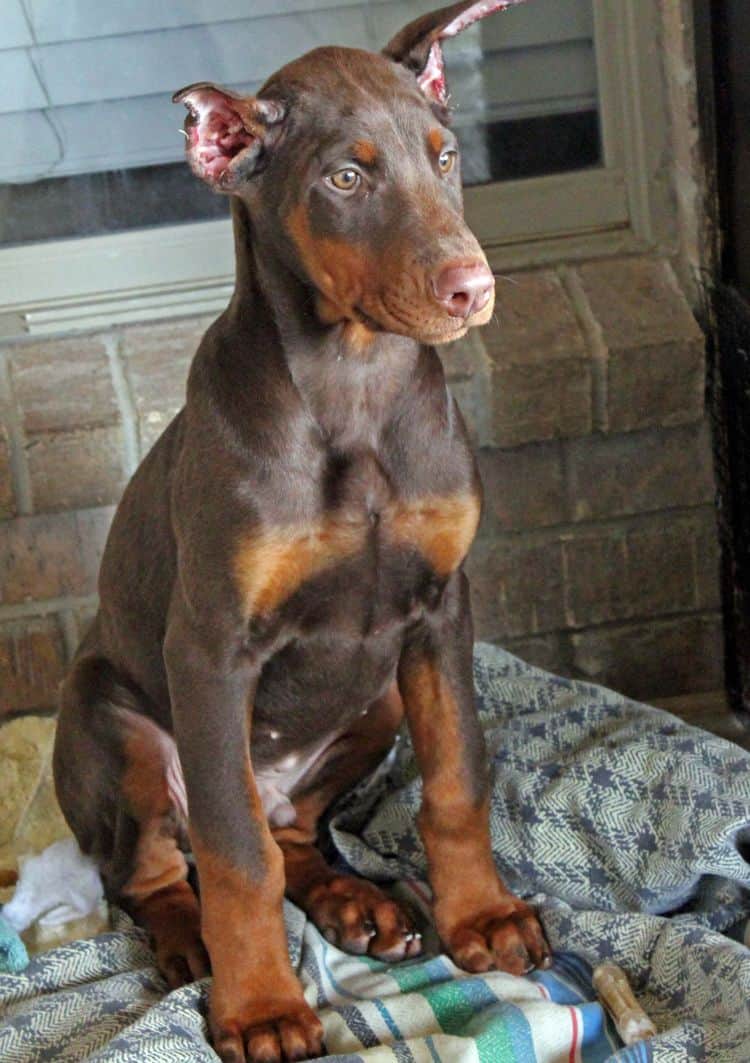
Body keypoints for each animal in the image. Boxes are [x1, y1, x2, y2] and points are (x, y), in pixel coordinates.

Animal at [50, 2, 543, 1063]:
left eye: (446, 157)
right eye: (344, 180)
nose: (472, 288)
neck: (354, 382)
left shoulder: (442, 611)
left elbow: (458, 777)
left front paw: (482, 917)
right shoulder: (211, 648)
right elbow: (235, 859)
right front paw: (262, 1008)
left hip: (379, 700)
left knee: (288, 831)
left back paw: (359, 904)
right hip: (118, 728)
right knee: (161, 869)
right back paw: (195, 943)